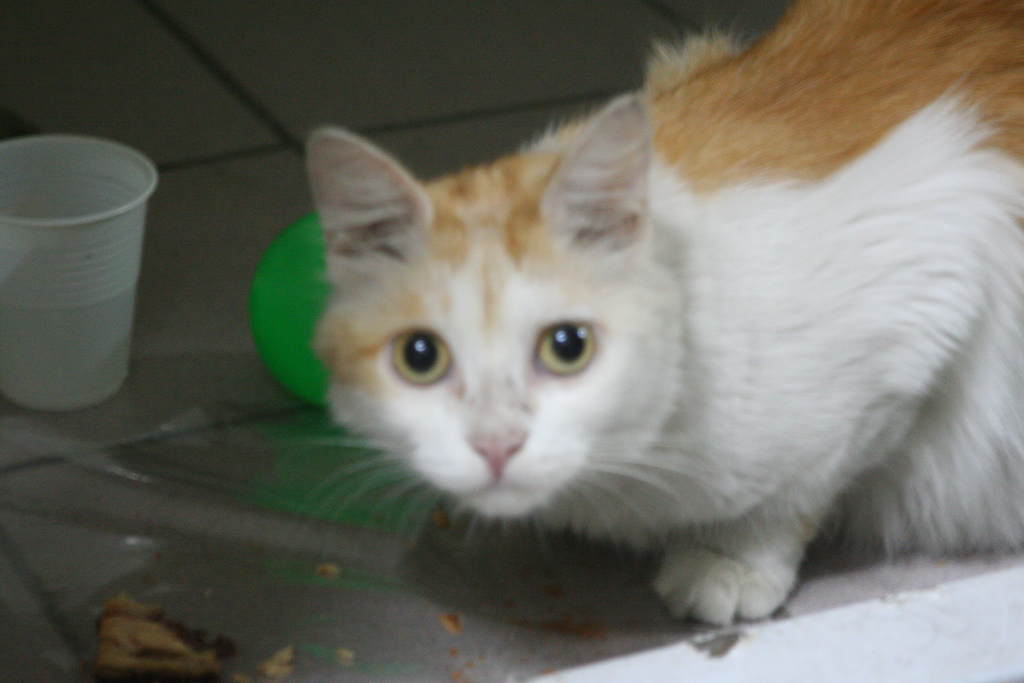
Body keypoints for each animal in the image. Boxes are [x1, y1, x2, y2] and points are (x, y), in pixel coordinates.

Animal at [303, 0, 1024, 626]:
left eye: (568, 346)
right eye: (419, 357)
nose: (495, 444)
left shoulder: (930, 269)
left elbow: (798, 491)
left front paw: (729, 560)